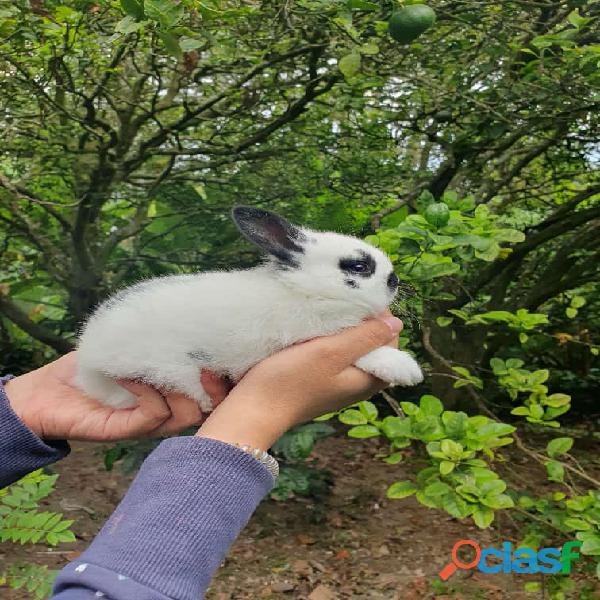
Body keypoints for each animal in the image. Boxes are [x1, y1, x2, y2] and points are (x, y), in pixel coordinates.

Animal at [76, 205, 422, 408]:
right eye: (359, 267)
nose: (394, 280)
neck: (307, 291)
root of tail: (89, 354)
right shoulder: (309, 335)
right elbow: (366, 352)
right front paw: (405, 368)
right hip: (170, 368)